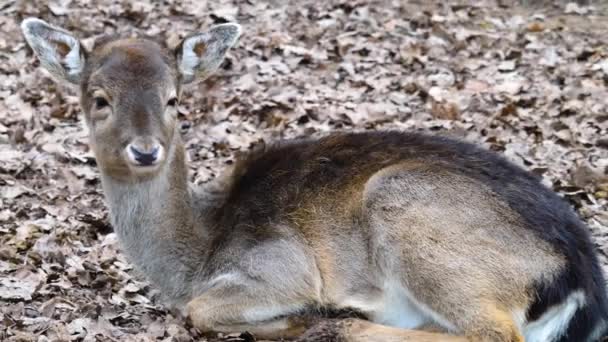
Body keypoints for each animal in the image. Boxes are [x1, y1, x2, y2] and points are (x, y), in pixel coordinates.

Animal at [21, 18, 608, 342]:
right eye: (99, 99)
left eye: (173, 99)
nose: (145, 151)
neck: (196, 256)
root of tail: (579, 282)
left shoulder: (280, 264)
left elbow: (200, 310)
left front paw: (300, 317)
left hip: (404, 201)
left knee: (493, 333)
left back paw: (339, 321)